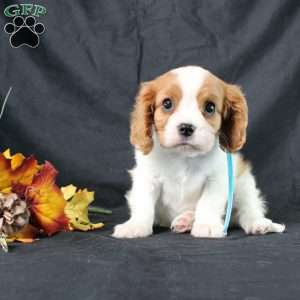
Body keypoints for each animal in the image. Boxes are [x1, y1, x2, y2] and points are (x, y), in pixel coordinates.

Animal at [112, 66, 284, 239]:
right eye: (167, 104)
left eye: (210, 107)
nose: (186, 128)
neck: (184, 156)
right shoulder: (147, 178)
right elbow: (143, 203)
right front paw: (135, 226)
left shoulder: (217, 179)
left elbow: (208, 202)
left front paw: (206, 225)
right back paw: (186, 220)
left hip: (244, 184)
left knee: (247, 209)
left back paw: (259, 223)